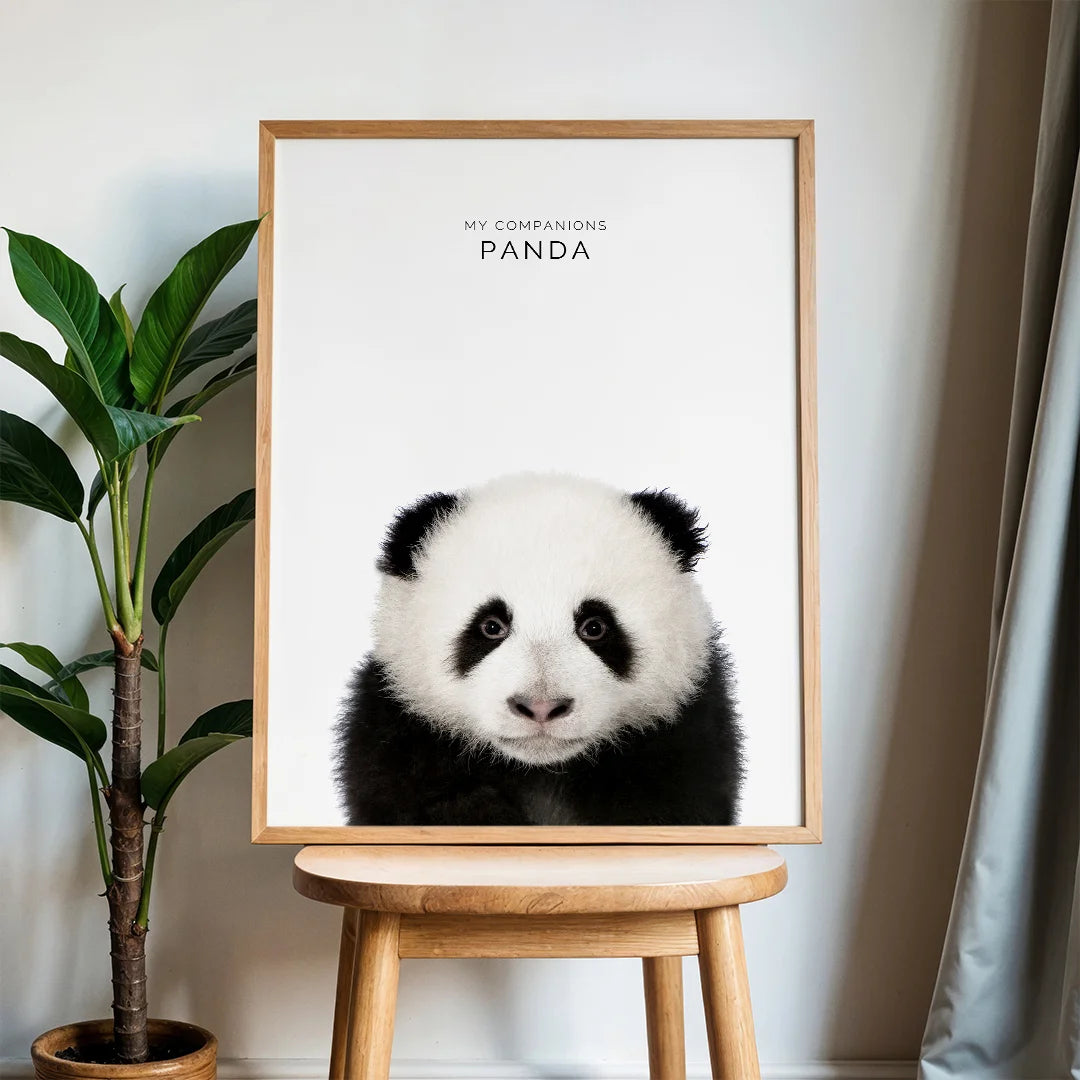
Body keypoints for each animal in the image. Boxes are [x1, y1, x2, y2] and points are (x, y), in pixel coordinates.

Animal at [334, 473, 745, 826]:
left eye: (595, 627)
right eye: (491, 626)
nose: (541, 707)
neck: (541, 769)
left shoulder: (685, 737)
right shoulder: (398, 734)